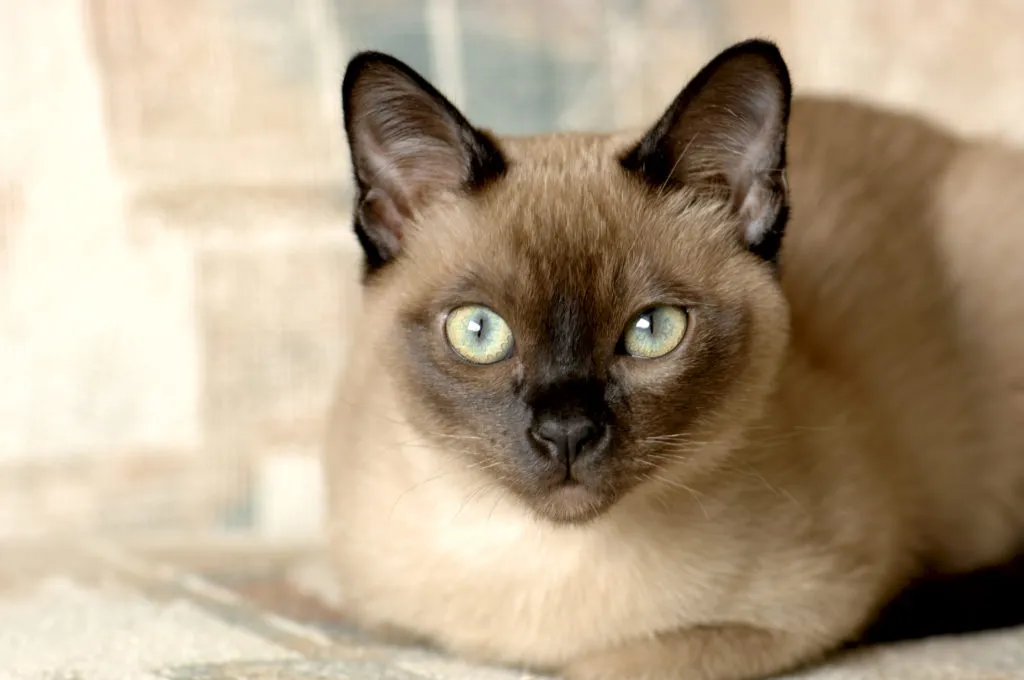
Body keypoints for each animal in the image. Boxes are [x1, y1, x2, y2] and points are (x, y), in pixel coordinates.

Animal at [323, 38, 1024, 680]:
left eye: (653, 330)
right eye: (478, 332)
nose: (566, 433)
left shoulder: (808, 614)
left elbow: (610, 668)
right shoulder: (383, 616)